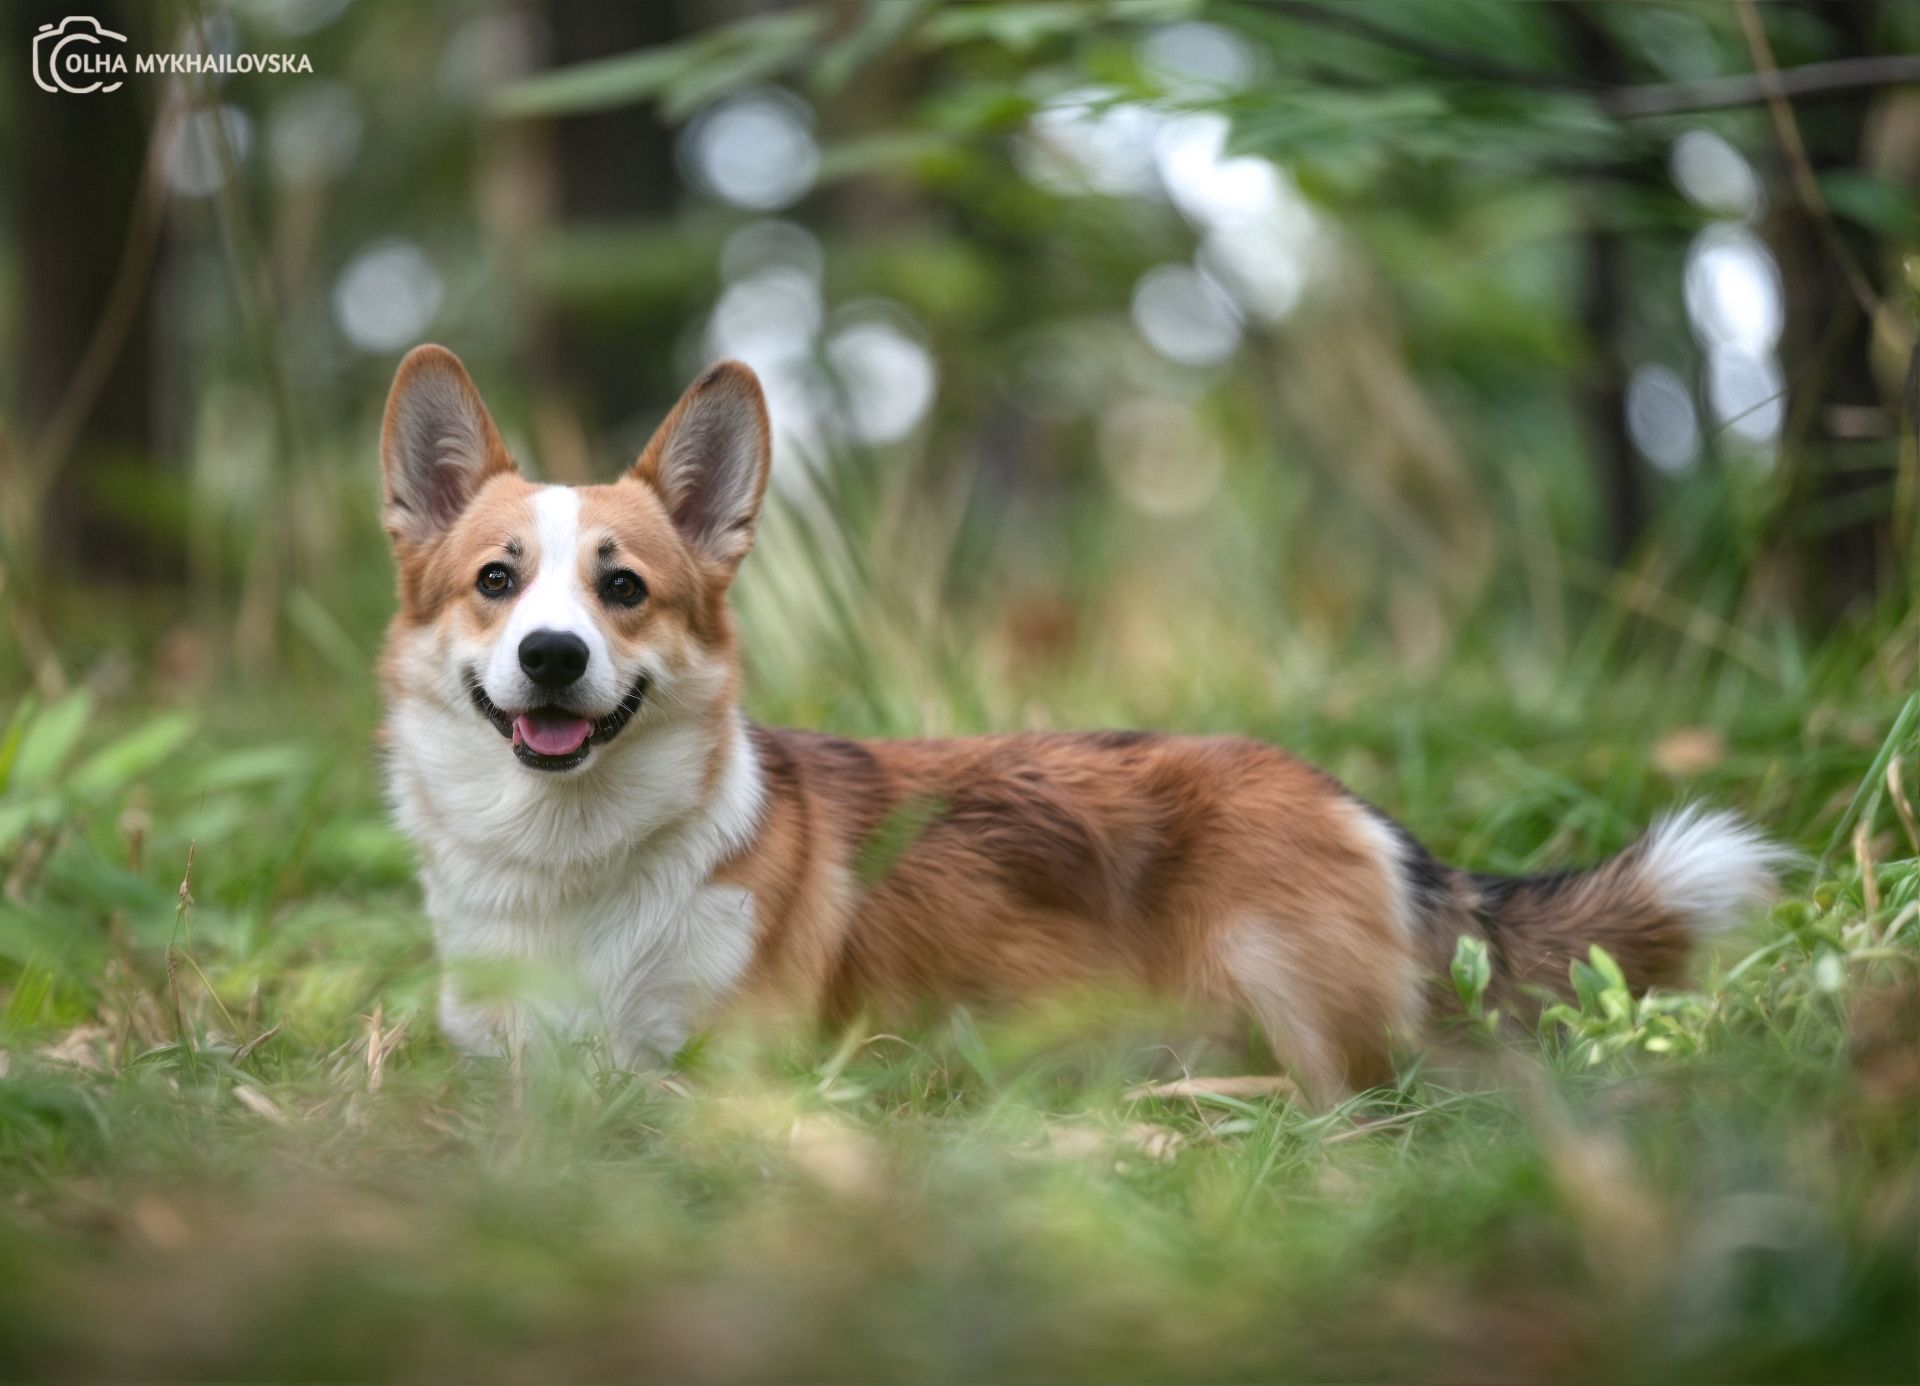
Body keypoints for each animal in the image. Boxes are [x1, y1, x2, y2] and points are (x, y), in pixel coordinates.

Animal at [374, 339, 1781, 1098]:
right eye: (497, 581)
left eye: (623, 589)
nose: (553, 656)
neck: (573, 860)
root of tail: (1360, 808)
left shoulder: (727, 1070)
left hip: (1283, 982)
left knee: (1359, 1100)